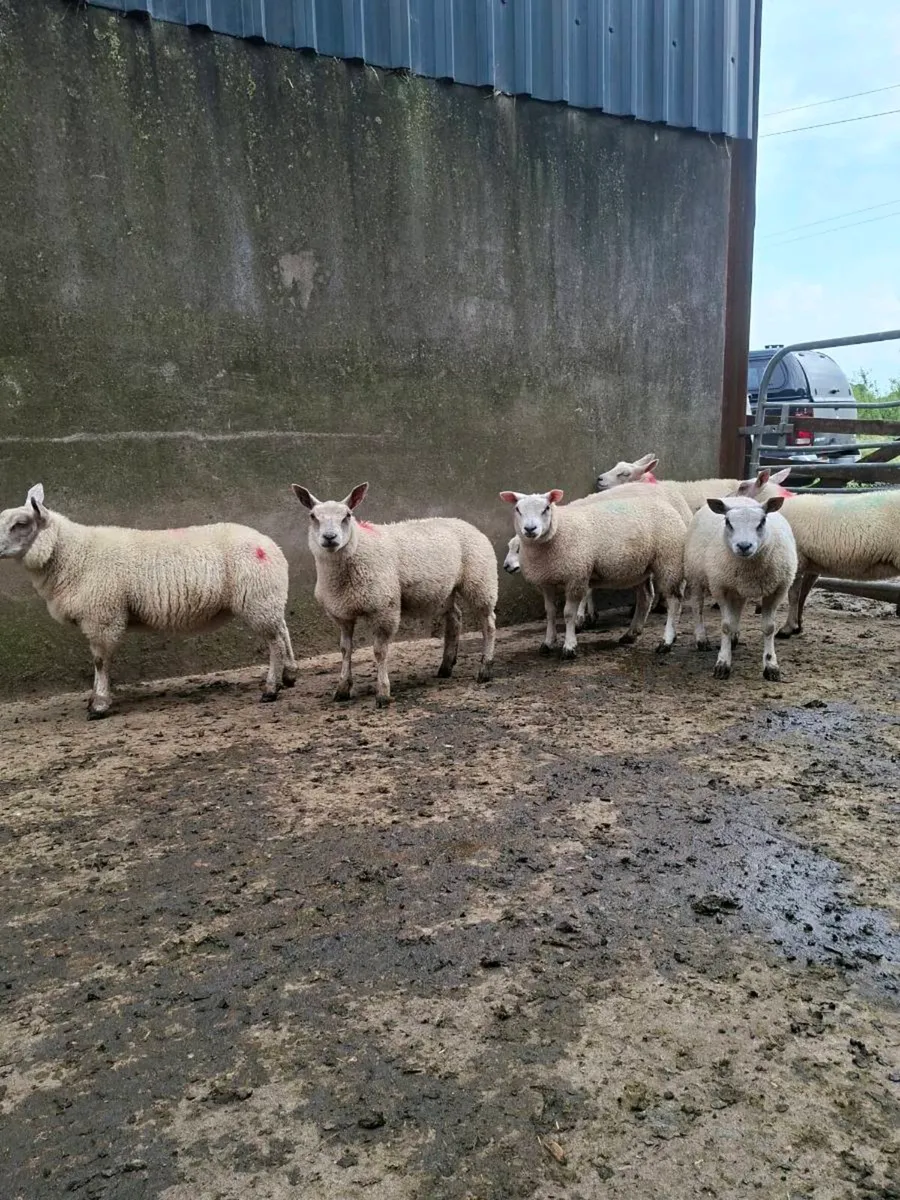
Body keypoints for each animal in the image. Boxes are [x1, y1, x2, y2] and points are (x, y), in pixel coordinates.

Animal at [0, 484, 298, 718]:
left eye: (20, 524)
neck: (72, 554)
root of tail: (272, 546)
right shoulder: (99, 617)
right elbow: (98, 662)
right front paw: (96, 699)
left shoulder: (102, 616)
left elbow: (100, 661)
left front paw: (99, 704)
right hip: (268, 599)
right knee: (283, 630)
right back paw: (290, 674)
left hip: (258, 600)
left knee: (274, 642)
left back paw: (271, 688)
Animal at [292, 482, 497, 708]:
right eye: (312, 516)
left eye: (347, 515)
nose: (329, 538)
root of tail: (465, 523)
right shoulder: (341, 614)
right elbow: (345, 650)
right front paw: (343, 688)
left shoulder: (384, 608)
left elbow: (379, 652)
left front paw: (383, 693)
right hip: (446, 590)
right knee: (455, 618)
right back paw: (446, 666)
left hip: (480, 580)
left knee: (488, 624)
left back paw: (485, 669)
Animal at [498, 486, 685, 657]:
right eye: (517, 509)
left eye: (546, 508)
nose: (530, 529)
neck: (558, 531)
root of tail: (668, 506)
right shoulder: (546, 582)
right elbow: (550, 613)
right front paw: (548, 642)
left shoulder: (576, 576)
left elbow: (568, 614)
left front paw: (570, 646)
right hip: (640, 568)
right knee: (645, 597)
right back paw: (631, 634)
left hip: (670, 559)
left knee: (674, 601)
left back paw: (666, 641)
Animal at [683, 495, 797, 680]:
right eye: (728, 522)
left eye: (762, 521)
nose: (744, 546)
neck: (750, 569)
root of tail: (737, 497)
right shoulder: (720, 587)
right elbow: (726, 625)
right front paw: (723, 663)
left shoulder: (777, 590)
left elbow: (769, 628)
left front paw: (771, 665)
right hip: (695, 575)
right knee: (697, 607)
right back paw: (702, 639)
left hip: (737, 588)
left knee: (738, 608)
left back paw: (734, 638)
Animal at [774, 489, 900, 637]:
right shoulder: (811, 565)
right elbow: (802, 595)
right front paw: (798, 626)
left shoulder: (797, 560)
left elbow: (793, 595)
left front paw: (787, 628)